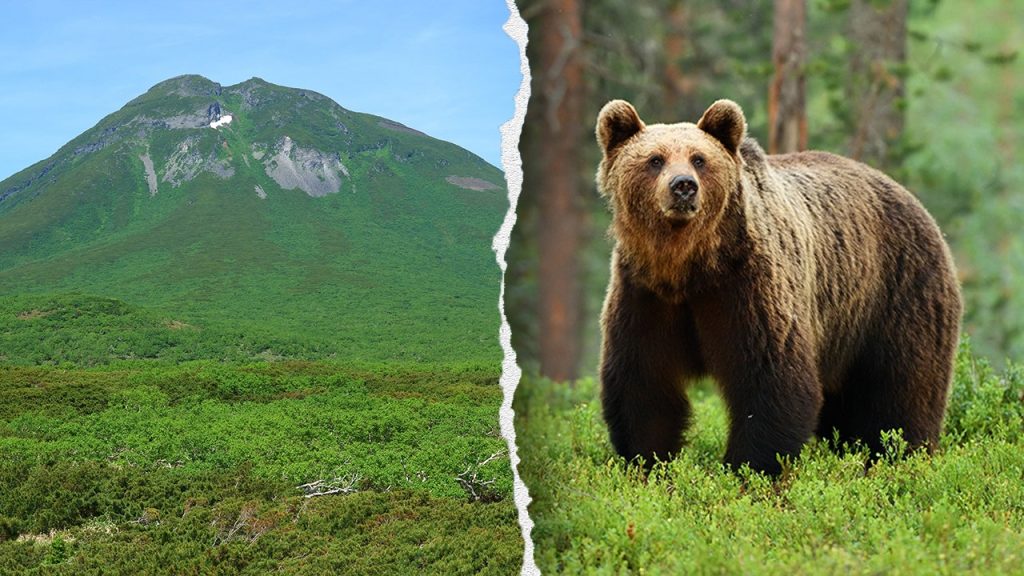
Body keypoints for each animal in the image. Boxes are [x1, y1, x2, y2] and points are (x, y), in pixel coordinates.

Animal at [595, 98, 962, 476]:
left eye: (699, 159)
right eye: (655, 159)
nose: (683, 185)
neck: (689, 266)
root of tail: (913, 201)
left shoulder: (747, 287)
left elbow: (771, 381)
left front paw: (749, 469)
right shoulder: (645, 295)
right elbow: (644, 386)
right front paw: (648, 463)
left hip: (896, 294)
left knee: (902, 392)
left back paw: (900, 455)